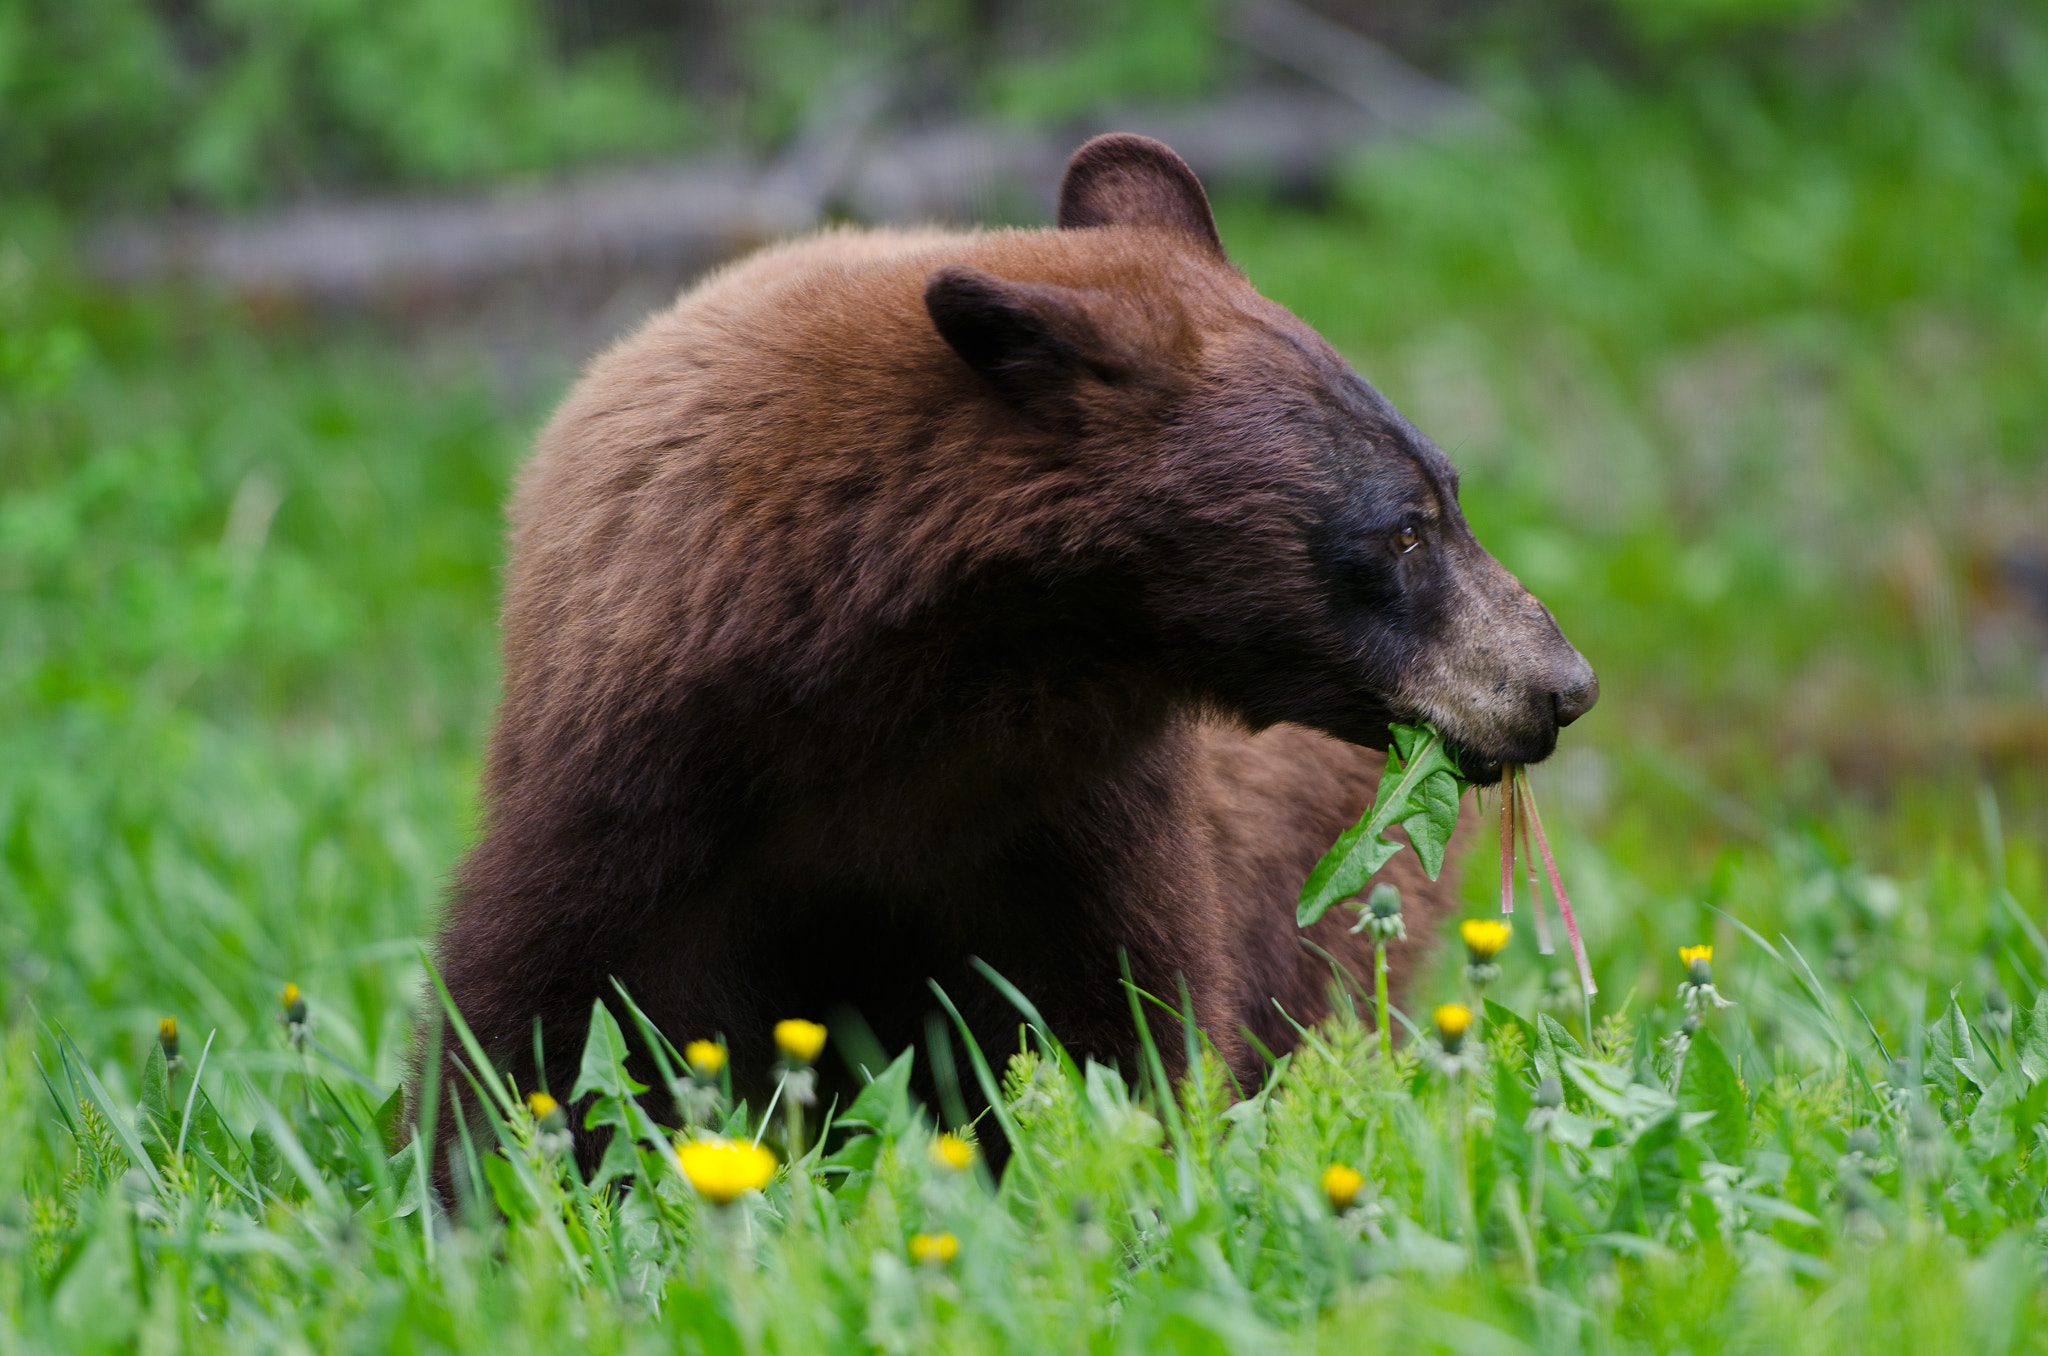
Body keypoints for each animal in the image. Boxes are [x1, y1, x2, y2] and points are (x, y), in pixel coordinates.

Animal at [421, 134, 1596, 1176]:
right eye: (1403, 531)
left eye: (1447, 495)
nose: (1561, 686)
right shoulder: (640, 786)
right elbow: (543, 1021)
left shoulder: (1070, 812)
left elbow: (1120, 1021)